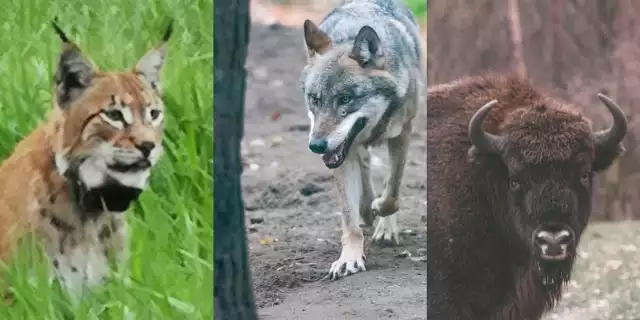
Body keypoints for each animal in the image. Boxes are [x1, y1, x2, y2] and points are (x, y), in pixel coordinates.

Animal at [300, 0, 424, 280]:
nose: (316, 146)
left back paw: (382, 224)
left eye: (345, 99)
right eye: (315, 99)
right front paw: (349, 258)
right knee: (364, 167)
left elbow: (392, 192)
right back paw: (367, 209)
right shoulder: (340, 154)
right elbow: (349, 218)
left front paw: (382, 213)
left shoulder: (402, 133)